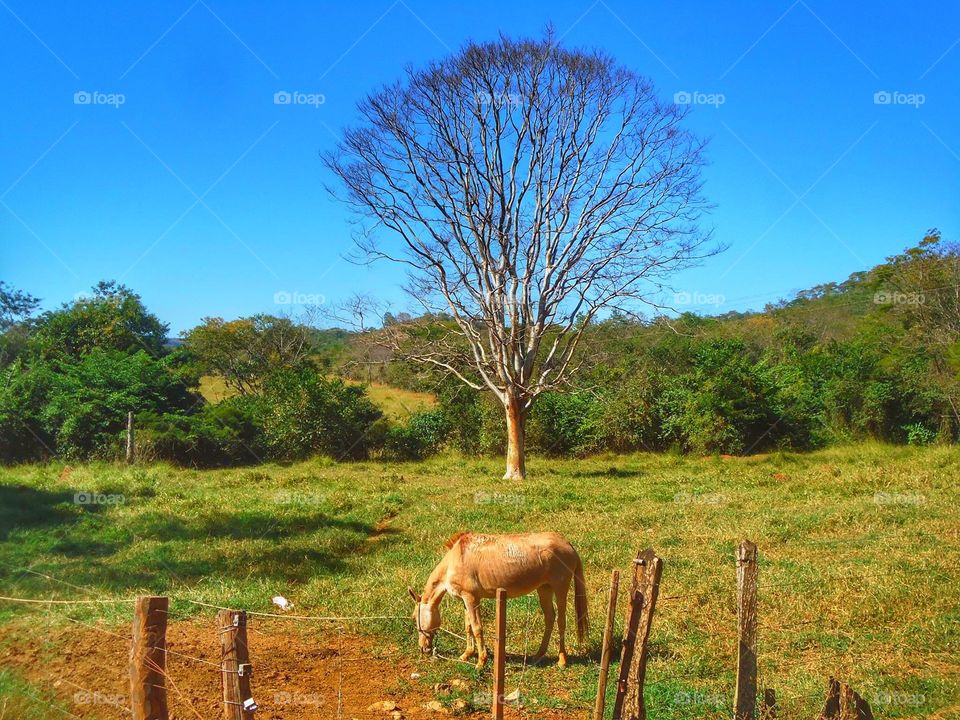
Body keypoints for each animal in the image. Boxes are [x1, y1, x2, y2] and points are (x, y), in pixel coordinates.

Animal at [408, 531, 588, 668]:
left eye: (414, 617)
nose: (423, 648)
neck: (456, 560)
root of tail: (568, 545)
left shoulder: (471, 599)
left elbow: (477, 628)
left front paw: (481, 661)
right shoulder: (466, 601)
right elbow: (468, 627)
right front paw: (467, 654)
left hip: (560, 589)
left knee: (561, 621)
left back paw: (562, 660)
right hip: (544, 589)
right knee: (550, 618)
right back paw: (538, 655)